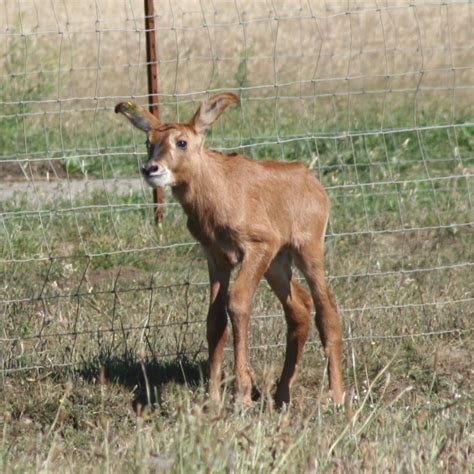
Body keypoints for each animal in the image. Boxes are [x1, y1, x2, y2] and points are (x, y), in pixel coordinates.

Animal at [115, 92, 344, 408]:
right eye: (149, 142)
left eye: (182, 141)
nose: (151, 169)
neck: (218, 192)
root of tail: (312, 182)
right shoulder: (217, 258)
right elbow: (215, 319)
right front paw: (212, 398)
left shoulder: (257, 247)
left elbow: (237, 303)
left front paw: (242, 395)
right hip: (277, 265)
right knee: (298, 309)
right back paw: (281, 396)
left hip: (307, 251)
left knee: (326, 309)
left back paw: (337, 395)